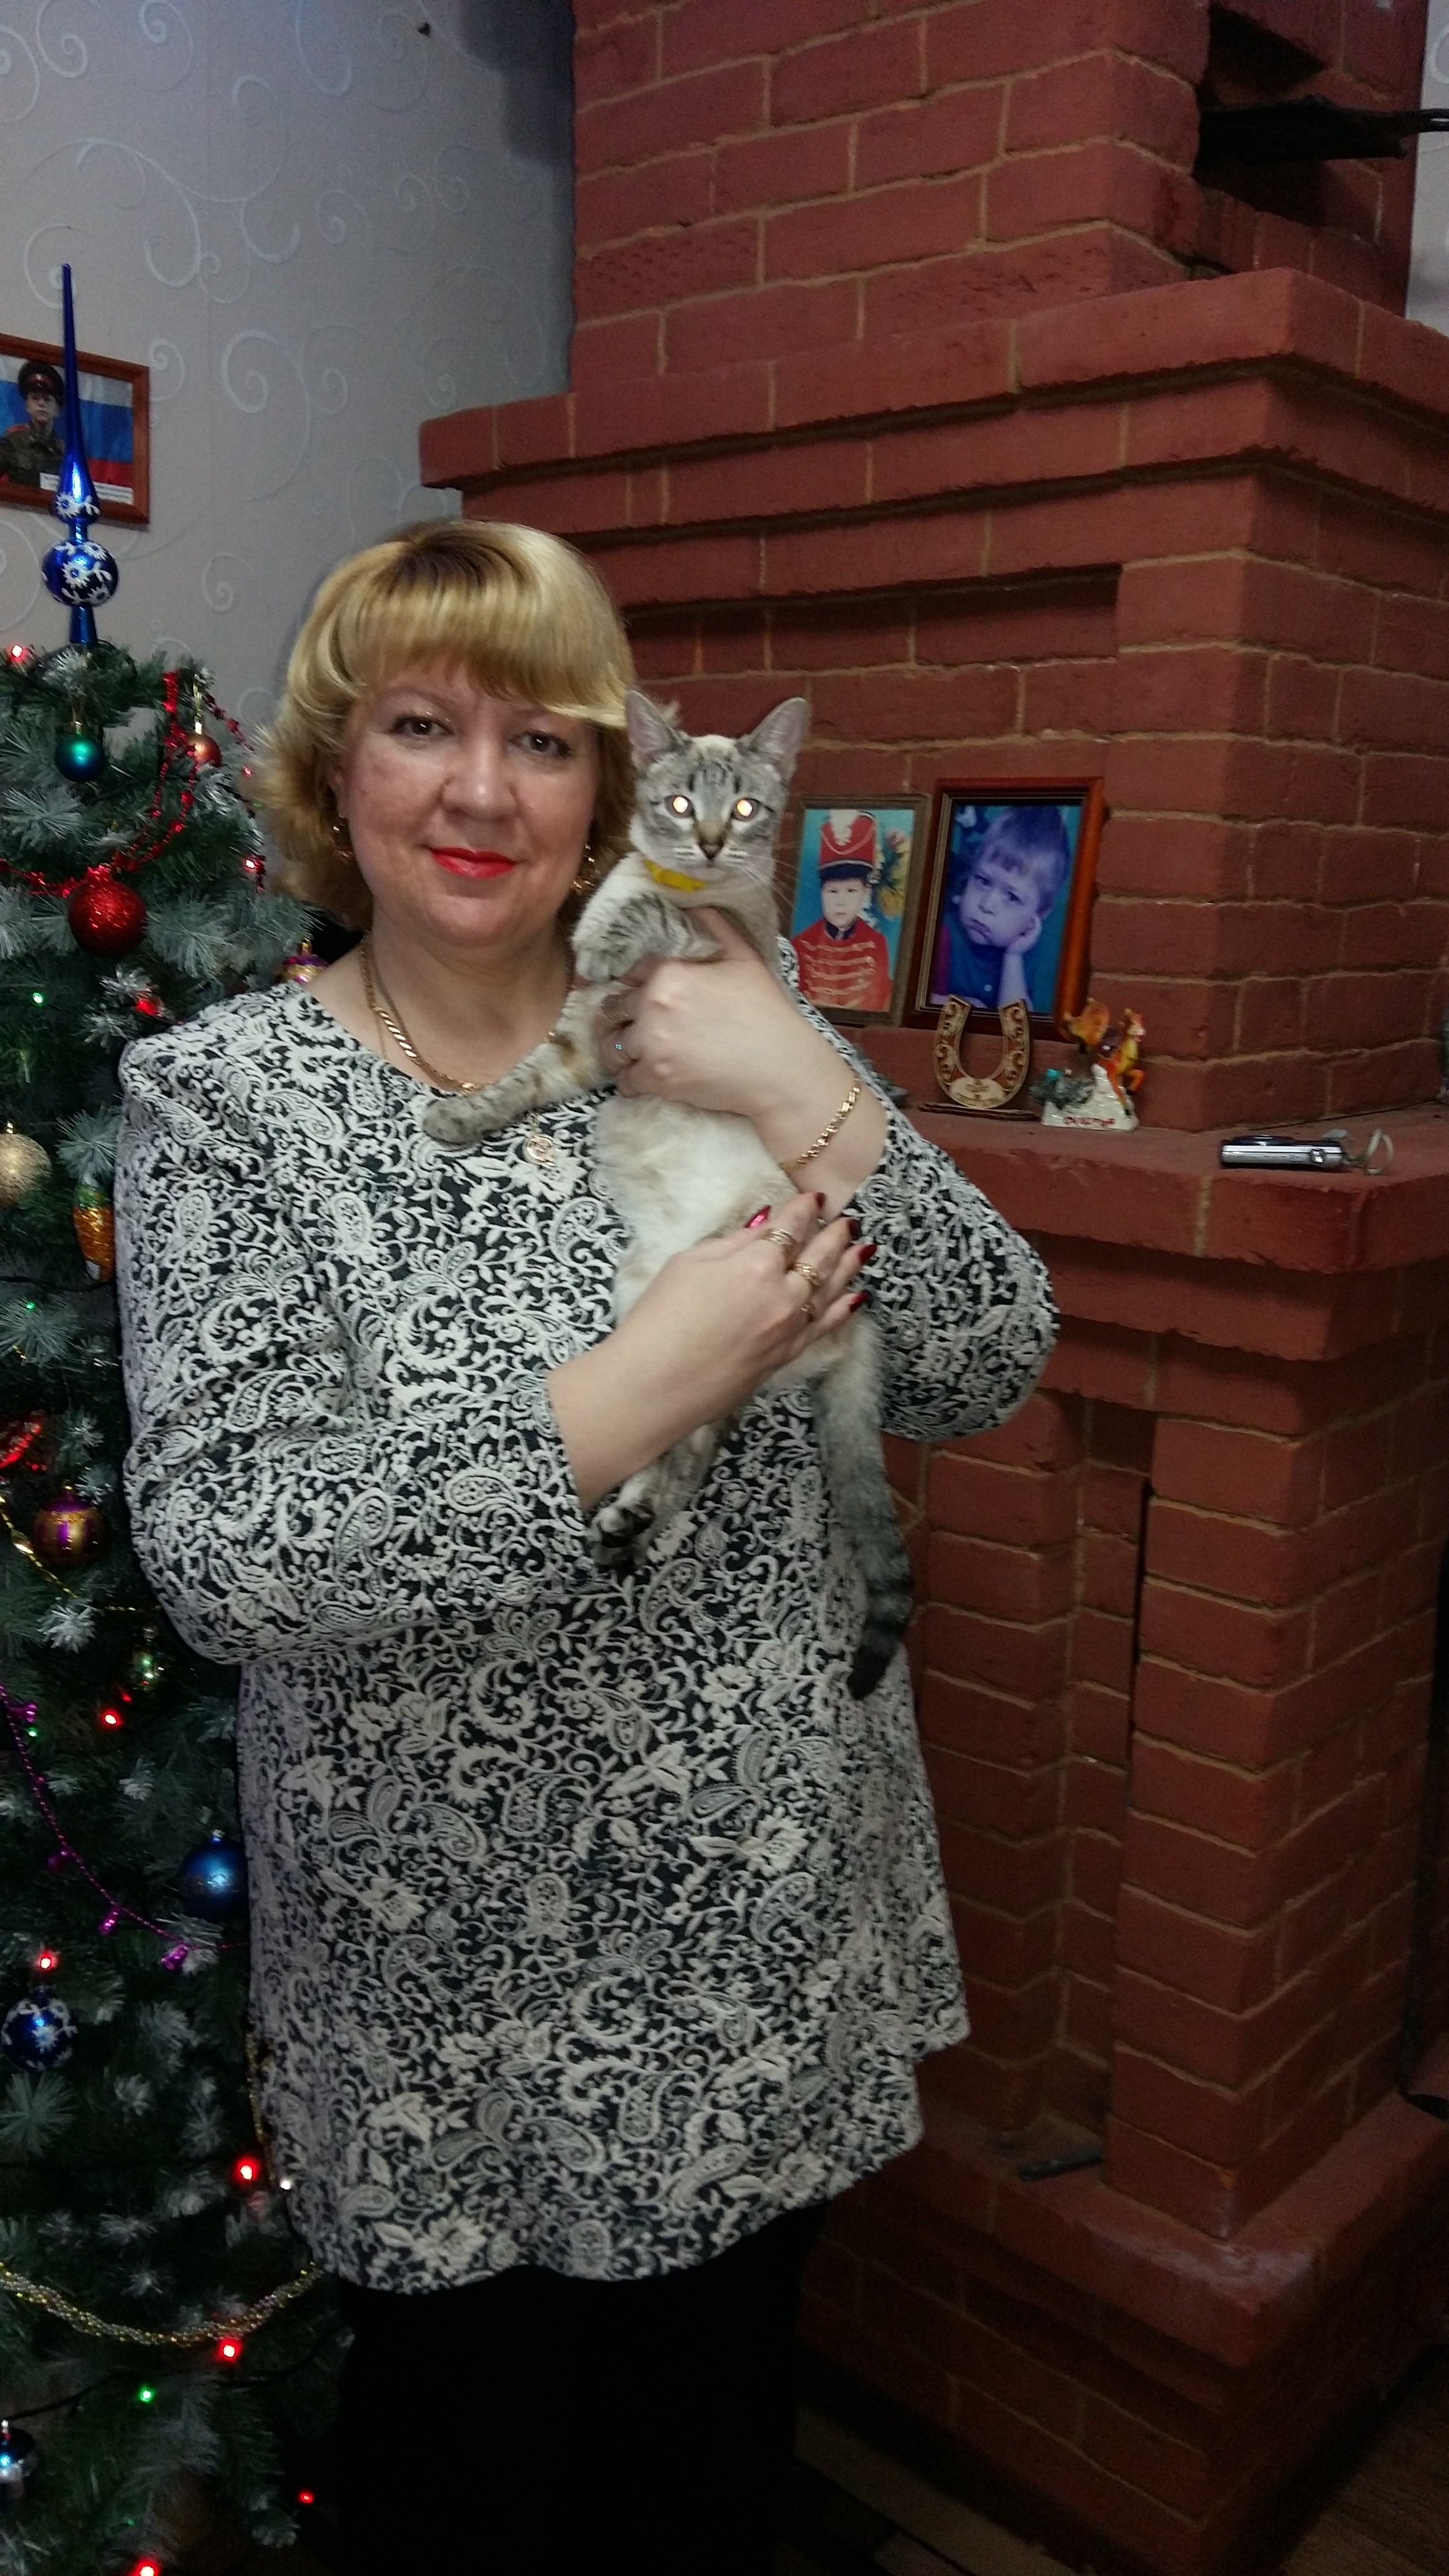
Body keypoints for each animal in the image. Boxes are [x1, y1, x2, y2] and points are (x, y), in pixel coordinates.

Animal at [422, 690, 912, 1699]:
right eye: (683, 804)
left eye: (746, 809)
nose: (716, 843)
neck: (684, 881)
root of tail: (855, 1321)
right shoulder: (585, 1042)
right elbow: (515, 1081)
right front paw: (453, 1118)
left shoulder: (726, 963)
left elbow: (645, 917)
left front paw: (605, 931)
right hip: (654, 1312)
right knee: (684, 1439)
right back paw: (626, 1523)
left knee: (696, 1448)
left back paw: (630, 1522)